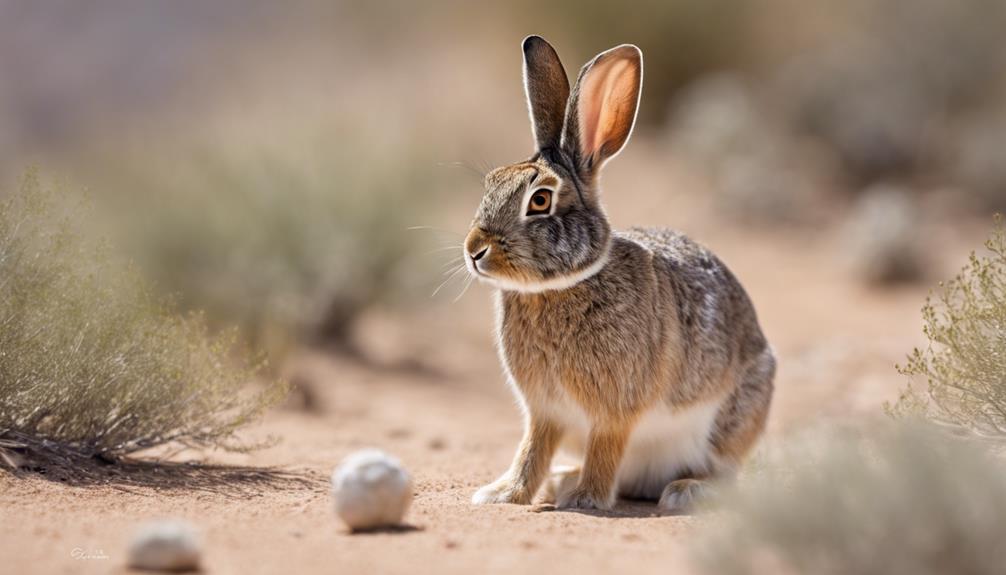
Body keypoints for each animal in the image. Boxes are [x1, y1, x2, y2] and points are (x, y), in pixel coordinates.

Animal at [462, 36, 776, 512]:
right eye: (490, 183)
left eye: (540, 200)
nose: (474, 250)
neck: (558, 287)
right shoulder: (545, 411)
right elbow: (532, 450)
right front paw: (502, 494)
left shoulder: (615, 409)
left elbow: (605, 447)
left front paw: (586, 500)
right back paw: (564, 478)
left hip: (729, 422)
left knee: (724, 474)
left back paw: (684, 491)